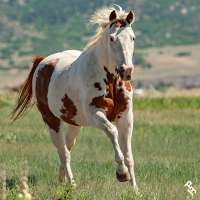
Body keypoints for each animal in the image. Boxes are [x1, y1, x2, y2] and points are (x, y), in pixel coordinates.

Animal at [11, 5, 138, 191]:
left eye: (133, 38)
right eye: (112, 38)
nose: (126, 70)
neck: (109, 80)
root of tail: (42, 62)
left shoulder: (126, 118)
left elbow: (129, 156)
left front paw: (136, 190)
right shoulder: (95, 115)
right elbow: (112, 132)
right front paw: (121, 173)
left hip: (74, 124)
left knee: (67, 147)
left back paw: (62, 179)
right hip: (52, 121)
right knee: (63, 152)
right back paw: (71, 184)